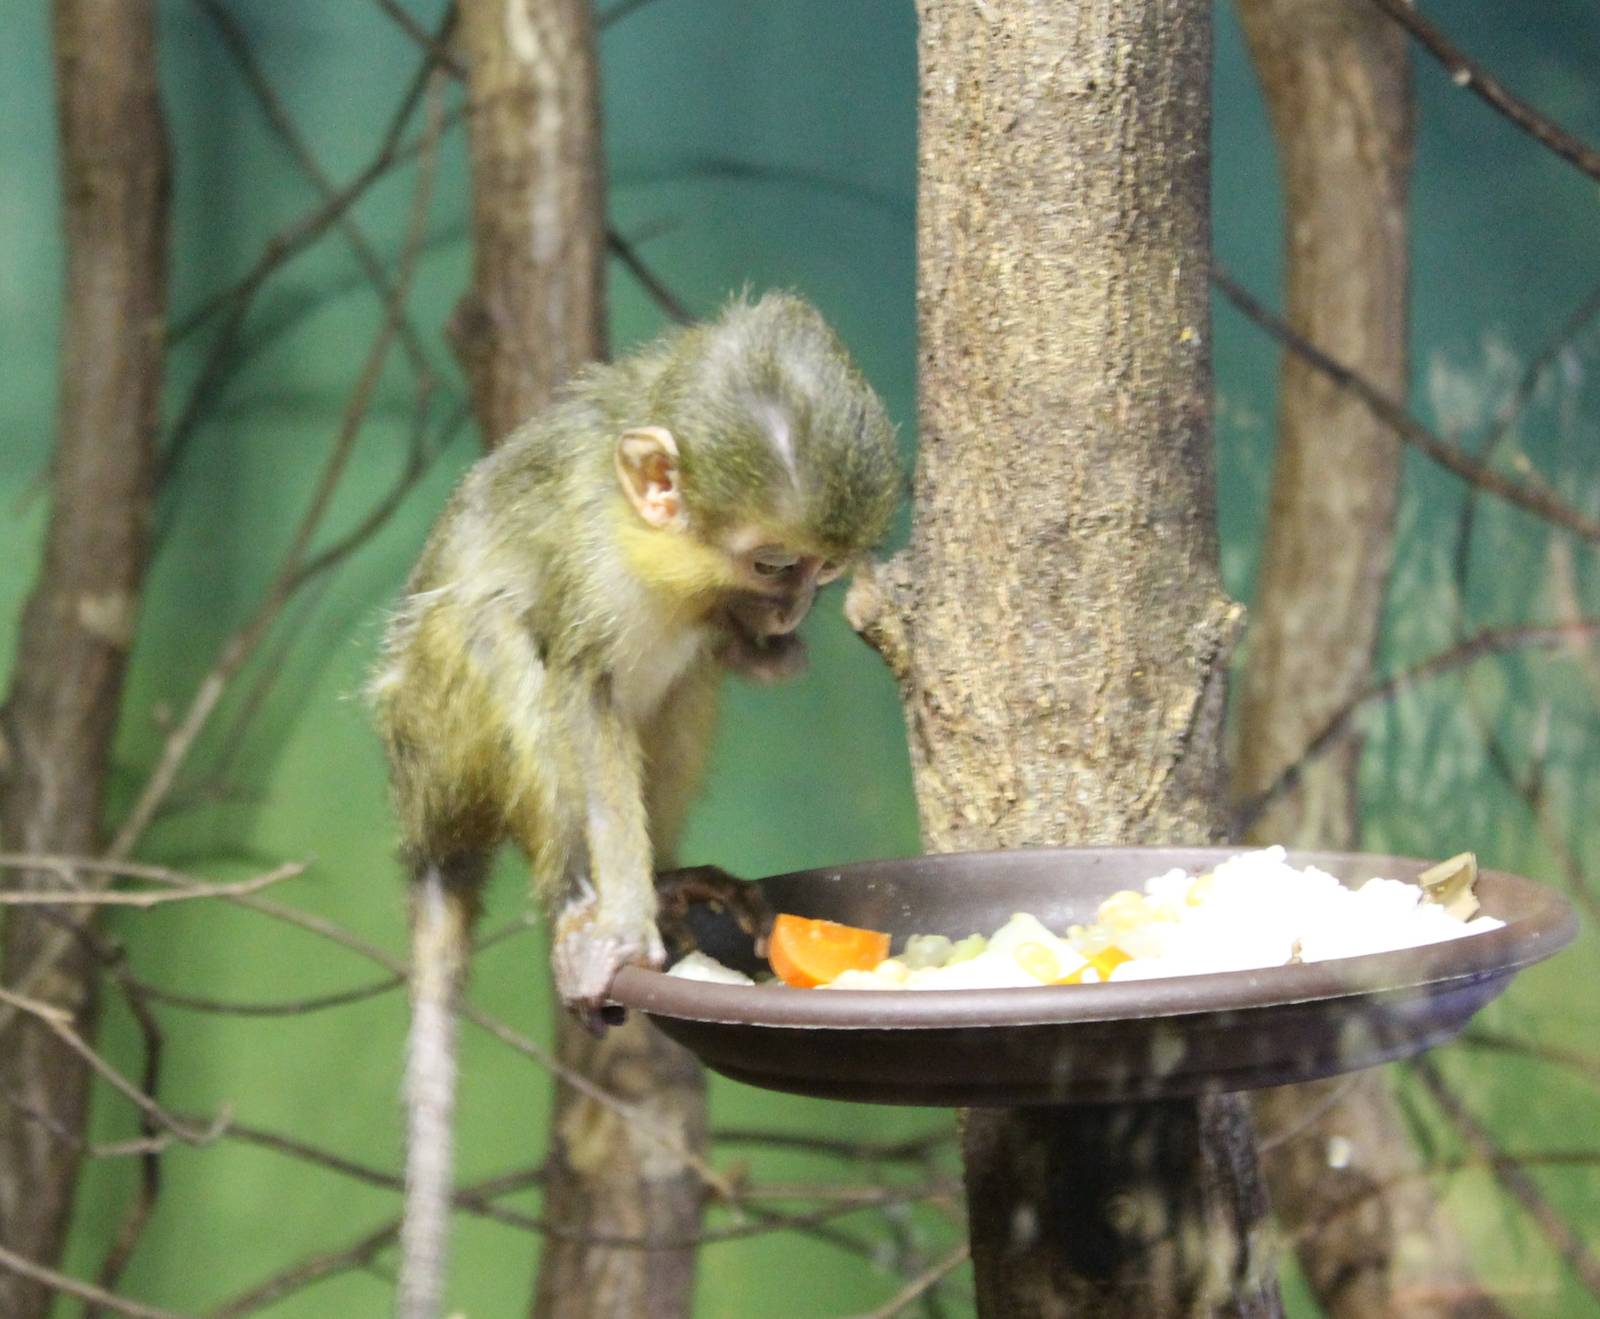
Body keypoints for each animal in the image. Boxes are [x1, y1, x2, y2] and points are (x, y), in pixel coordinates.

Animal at [368, 291, 901, 1319]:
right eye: (773, 564)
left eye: (819, 573)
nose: (786, 614)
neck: (657, 548)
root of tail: (423, 828)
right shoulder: (601, 565)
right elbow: (588, 685)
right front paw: (616, 917)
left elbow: (709, 660)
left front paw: (763, 649)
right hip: (438, 739)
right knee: (496, 629)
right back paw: (584, 902)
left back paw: (668, 878)